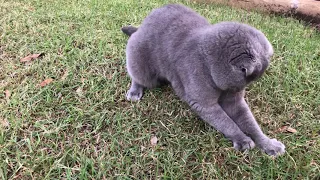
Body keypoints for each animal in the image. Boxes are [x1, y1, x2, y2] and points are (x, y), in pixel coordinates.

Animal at [122, 3, 284, 156]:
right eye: (245, 81)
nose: (240, 90)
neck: (208, 66)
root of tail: (142, 25)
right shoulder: (204, 104)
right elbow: (227, 122)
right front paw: (243, 140)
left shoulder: (234, 101)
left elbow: (250, 123)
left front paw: (269, 145)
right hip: (142, 63)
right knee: (137, 76)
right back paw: (134, 92)